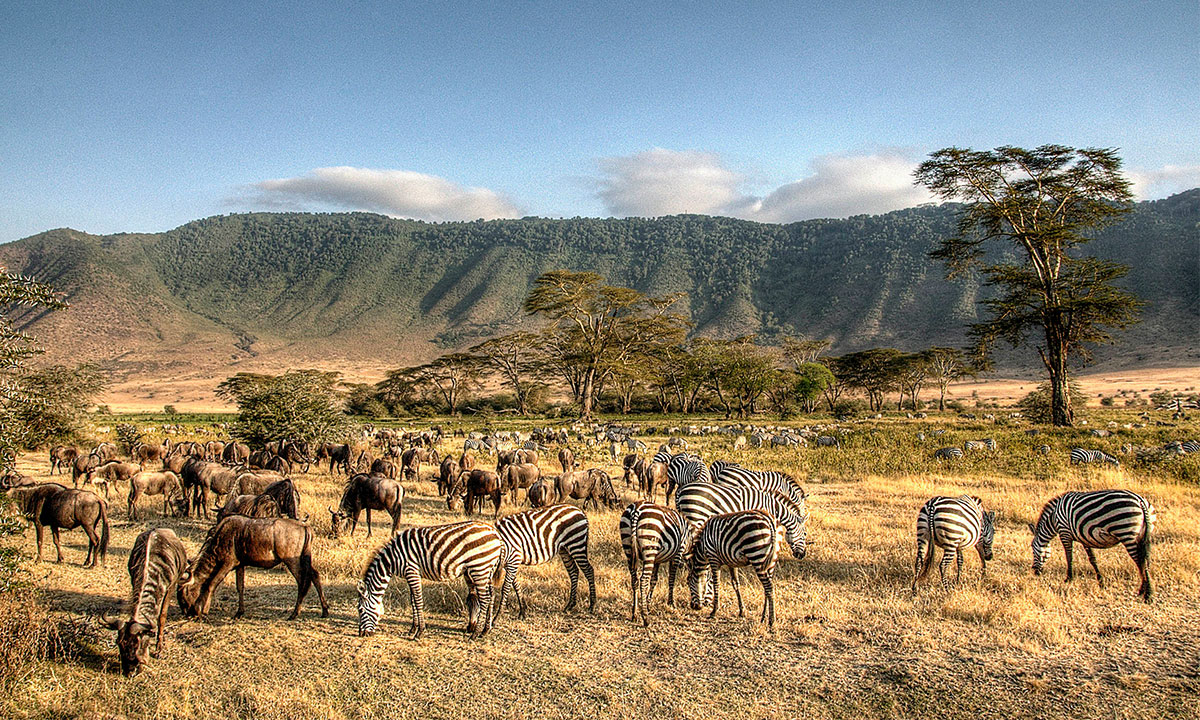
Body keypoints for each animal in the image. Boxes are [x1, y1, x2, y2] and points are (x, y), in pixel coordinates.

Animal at [355, 520, 506, 638]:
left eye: (360, 610)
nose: (362, 634)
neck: (392, 559)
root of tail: (495, 533)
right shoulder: (411, 574)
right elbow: (413, 601)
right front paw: (413, 629)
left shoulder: (412, 571)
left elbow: (418, 601)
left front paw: (420, 631)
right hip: (487, 569)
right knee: (491, 595)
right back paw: (486, 630)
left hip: (480, 568)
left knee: (485, 599)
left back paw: (475, 634)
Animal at [1027, 489, 1156, 602]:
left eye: (1033, 548)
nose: (1034, 571)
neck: (1053, 518)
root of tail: (1140, 501)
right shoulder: (1084, 537)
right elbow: (1092, 559)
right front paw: (1101, 581)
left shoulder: (1064, 533)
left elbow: (1069, 557)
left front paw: (1068, 578)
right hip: (1143, 536)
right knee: (1145, 562)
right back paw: (1142, 590)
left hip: (1127, 533)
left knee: (1141, 562)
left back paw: (1148, 595)